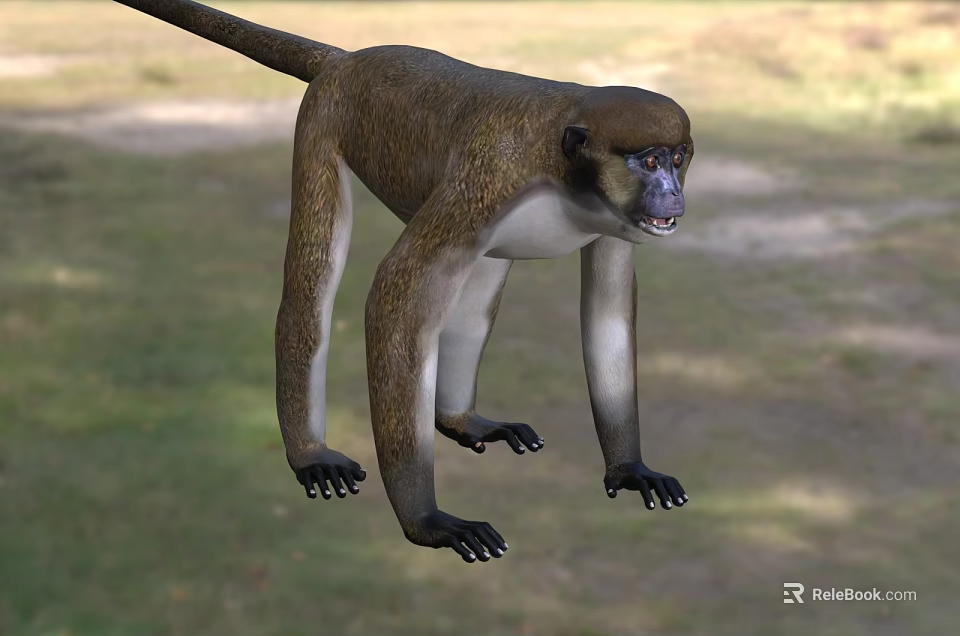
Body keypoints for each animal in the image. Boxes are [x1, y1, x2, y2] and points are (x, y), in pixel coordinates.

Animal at [114, 0, 694, 563]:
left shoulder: (615, 221)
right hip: (322, 117)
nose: (674, 196)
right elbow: (394, 296)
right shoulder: (489, 179)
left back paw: (461, 420)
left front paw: (629, 468)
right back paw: (310, 454)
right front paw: (427, 522)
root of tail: (349, 58)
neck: (565, 168)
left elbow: (607, 318)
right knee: (313, 284)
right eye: (648, 162)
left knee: (478, 286)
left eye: (677, 157)